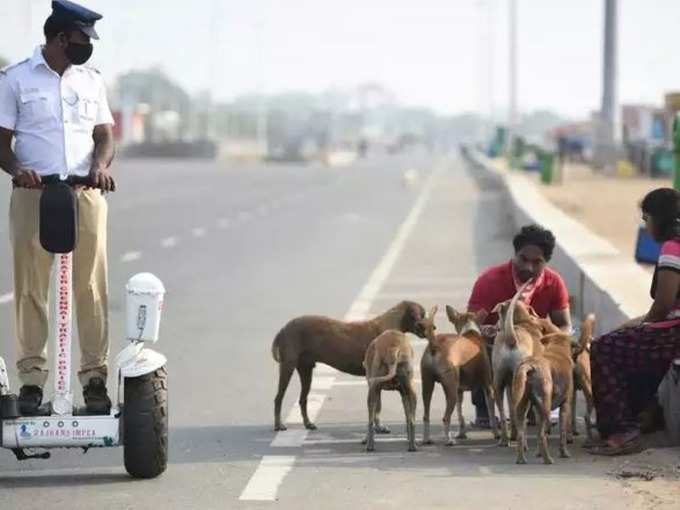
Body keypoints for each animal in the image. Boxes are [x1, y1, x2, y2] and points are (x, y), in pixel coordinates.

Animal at [272, 300, 424, 432]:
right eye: (423, 315)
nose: (429, 329)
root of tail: (283, 329)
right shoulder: (374, 380)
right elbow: (378, 406)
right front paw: (379, 427)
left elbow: (377, 406)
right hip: (287, 366)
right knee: (278, 398)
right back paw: (279, 425)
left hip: (306, 370)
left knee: (302, 399)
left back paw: (308, 423)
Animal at [420, 304, 500, 444]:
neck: (470, 332)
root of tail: (434, 345)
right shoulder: (488, 387)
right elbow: (491, 414)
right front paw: (496, 434)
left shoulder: (459, 391)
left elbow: (460, 415)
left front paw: (461, 434)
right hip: (450, 390)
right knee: (446, 417)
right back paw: (449, 440)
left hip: (428, 386)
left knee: (426, 416)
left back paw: (427, 439)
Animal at [492, 282, 544, 446]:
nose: (495, 325)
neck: (521, 322)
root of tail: (512, 338)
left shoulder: (508, 384)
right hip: (522, 382)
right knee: (520, 413)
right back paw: (523, 441)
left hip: (499, 383)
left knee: (505, 413)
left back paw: (505, 439)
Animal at [516, 332, 572, 464]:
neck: (557, 349)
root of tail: (530, 366)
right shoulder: (565, 405)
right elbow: (562, 433)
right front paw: (564, 453)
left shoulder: (537, 409)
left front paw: (538, 453)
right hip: (544, 405)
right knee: (542, 434)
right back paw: (548, 459)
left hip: (523, 408)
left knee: (521, 434)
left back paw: (521, 459)